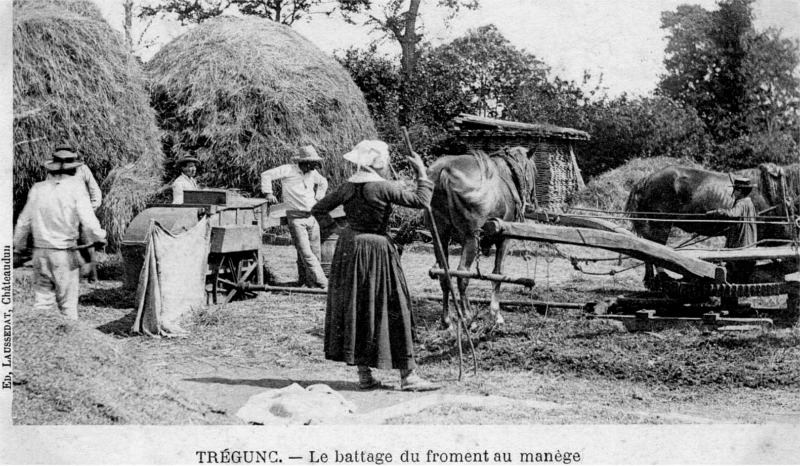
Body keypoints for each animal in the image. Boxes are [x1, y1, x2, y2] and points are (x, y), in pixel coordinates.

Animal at [428, 146, 536, 328]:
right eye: (534, 169)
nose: (532, 199)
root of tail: (445, 172)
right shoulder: (504, 240)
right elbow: (497, 274)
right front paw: (496, 313)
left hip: (439, 237)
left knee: (445, 275)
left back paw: (447, 319)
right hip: (471, 239)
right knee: (462, 275)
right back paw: (468, 318)